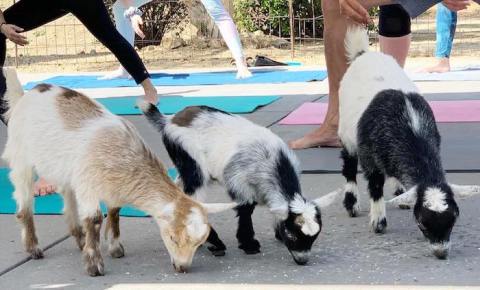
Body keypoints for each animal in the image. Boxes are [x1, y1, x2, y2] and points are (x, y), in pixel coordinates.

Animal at [139, 103, 338, 266]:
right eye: (293, 234)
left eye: (314, 236)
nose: (302, 260)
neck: (273, 160)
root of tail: (168, 120)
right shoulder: (238, 179)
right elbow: (246, 208)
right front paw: (249, 244)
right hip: (190, 160)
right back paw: (215, 244)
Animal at [338, 26, 480, 258]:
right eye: (422, 223)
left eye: (453, 221)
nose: (441, 252)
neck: (411, 124)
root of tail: (364, 54)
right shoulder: (369, 155)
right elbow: (375, 185)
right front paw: (378, 222)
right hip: (345, 130)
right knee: (348, 164)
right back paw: (351, 203)